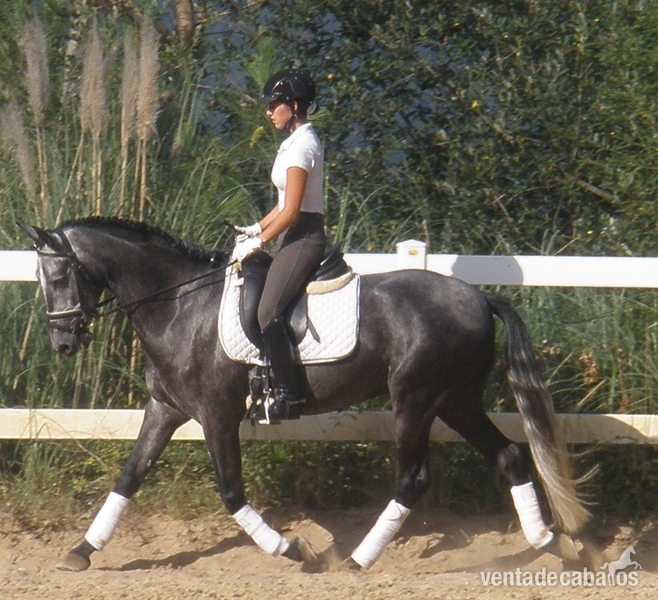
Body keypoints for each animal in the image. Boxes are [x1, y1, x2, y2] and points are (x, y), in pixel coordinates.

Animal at [20, 217, 590, 572]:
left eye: (59, 273)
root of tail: (478, 297)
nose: (63, 343)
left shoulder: (215, 415)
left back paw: (358, 560)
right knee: (511, 456)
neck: (180, 305)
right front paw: (80, 551)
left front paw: (293, 549)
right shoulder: (165, 409)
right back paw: (553, 543)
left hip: (417, 400)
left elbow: (231, 493)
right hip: (456, 401)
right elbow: (128, 477)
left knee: (413, 478)